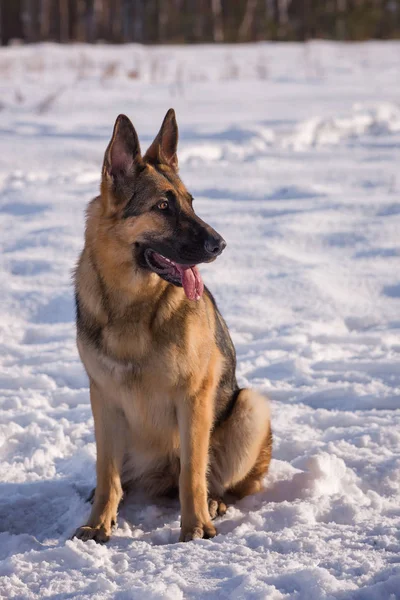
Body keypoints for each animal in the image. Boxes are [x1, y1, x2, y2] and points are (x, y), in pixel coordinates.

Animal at [72, 109, 272, 544]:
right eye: (163, 206)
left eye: (191, 203)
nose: (220, 244)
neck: (132, 305)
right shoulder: (103, 398)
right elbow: (107, 472)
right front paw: (98, 524)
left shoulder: (193, 397)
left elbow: (193, 472)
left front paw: (194, 526)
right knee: (119, 477)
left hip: (250, 407)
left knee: (219, 480)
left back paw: (214, 503)